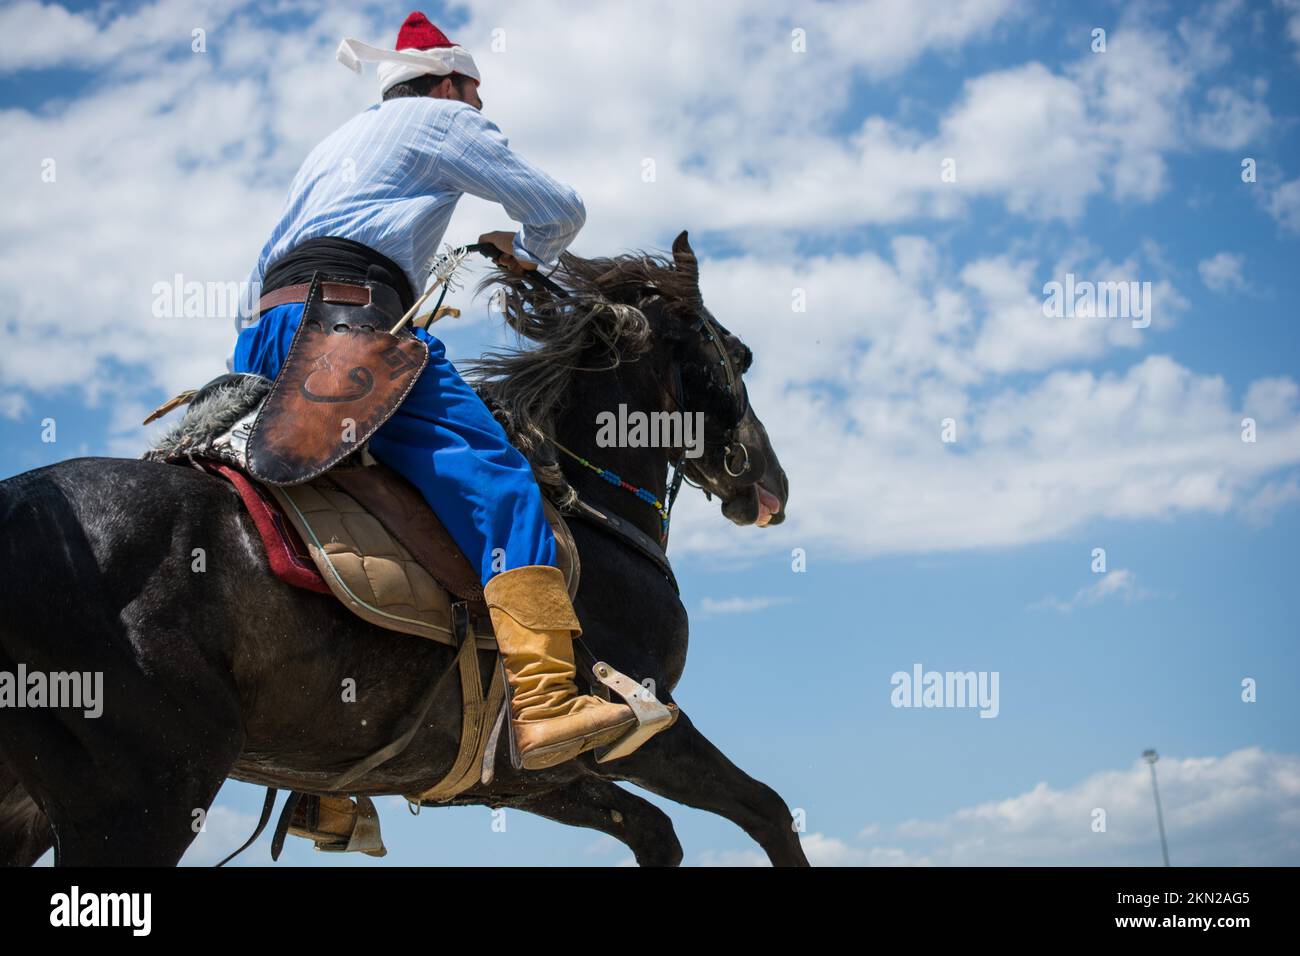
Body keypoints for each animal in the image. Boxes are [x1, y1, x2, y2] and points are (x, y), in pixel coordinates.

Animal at [0, 234, 806, 868]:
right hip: (145, 803)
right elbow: (766, 809)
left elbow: (656, 833)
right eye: (736, 356)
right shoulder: (645, 727)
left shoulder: (531, 779)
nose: (769, 484)